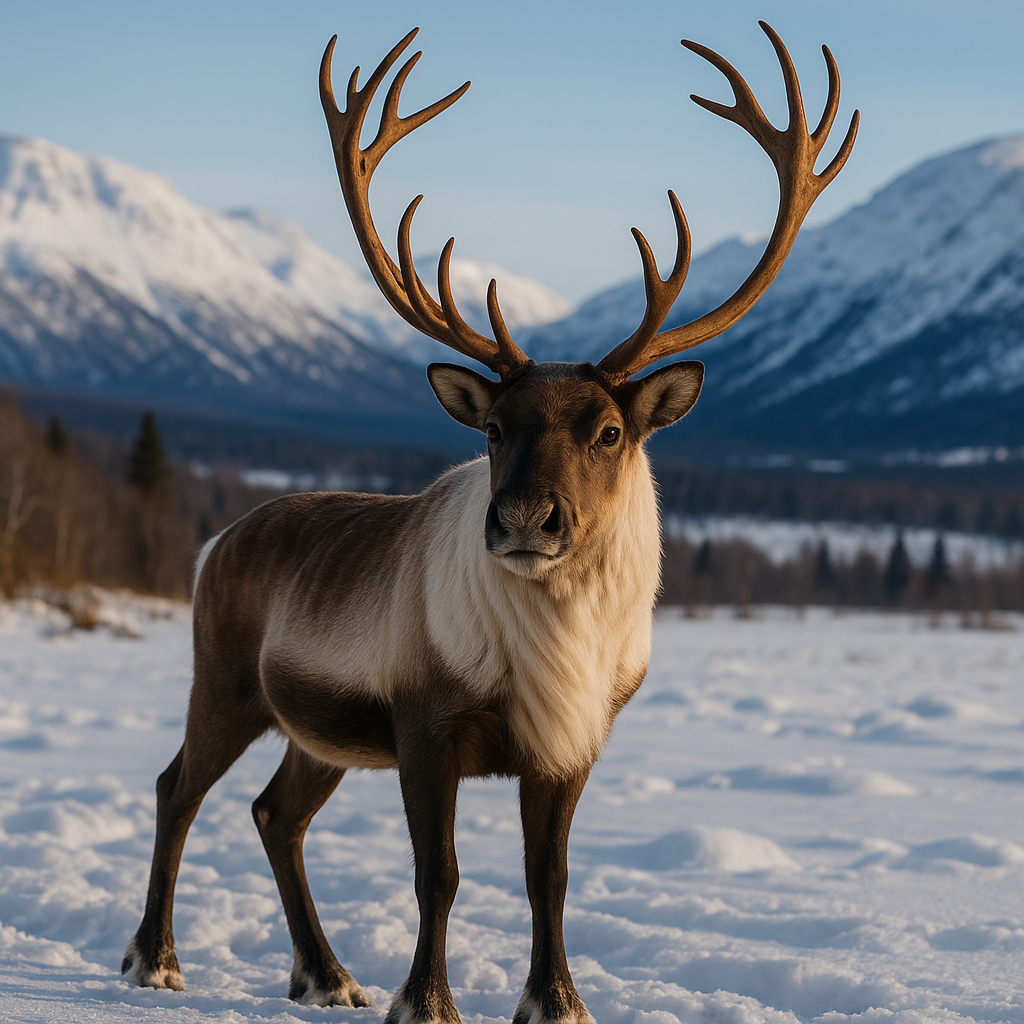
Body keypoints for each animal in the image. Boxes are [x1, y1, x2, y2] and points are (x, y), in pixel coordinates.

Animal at [122, 23, 856, 1024]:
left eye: (609, 429)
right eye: (496, 426)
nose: (523, 520)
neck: (559, 646)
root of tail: (214, 542)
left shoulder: (573, 740)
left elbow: (549, 877)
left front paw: (557, 1001)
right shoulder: (428, 723)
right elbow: (439, 874)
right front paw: (426, 1001)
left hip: (321, 732)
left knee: (276, 813)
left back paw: (327, 974)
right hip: (229, 682)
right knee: (178, 788)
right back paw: (156, 958)